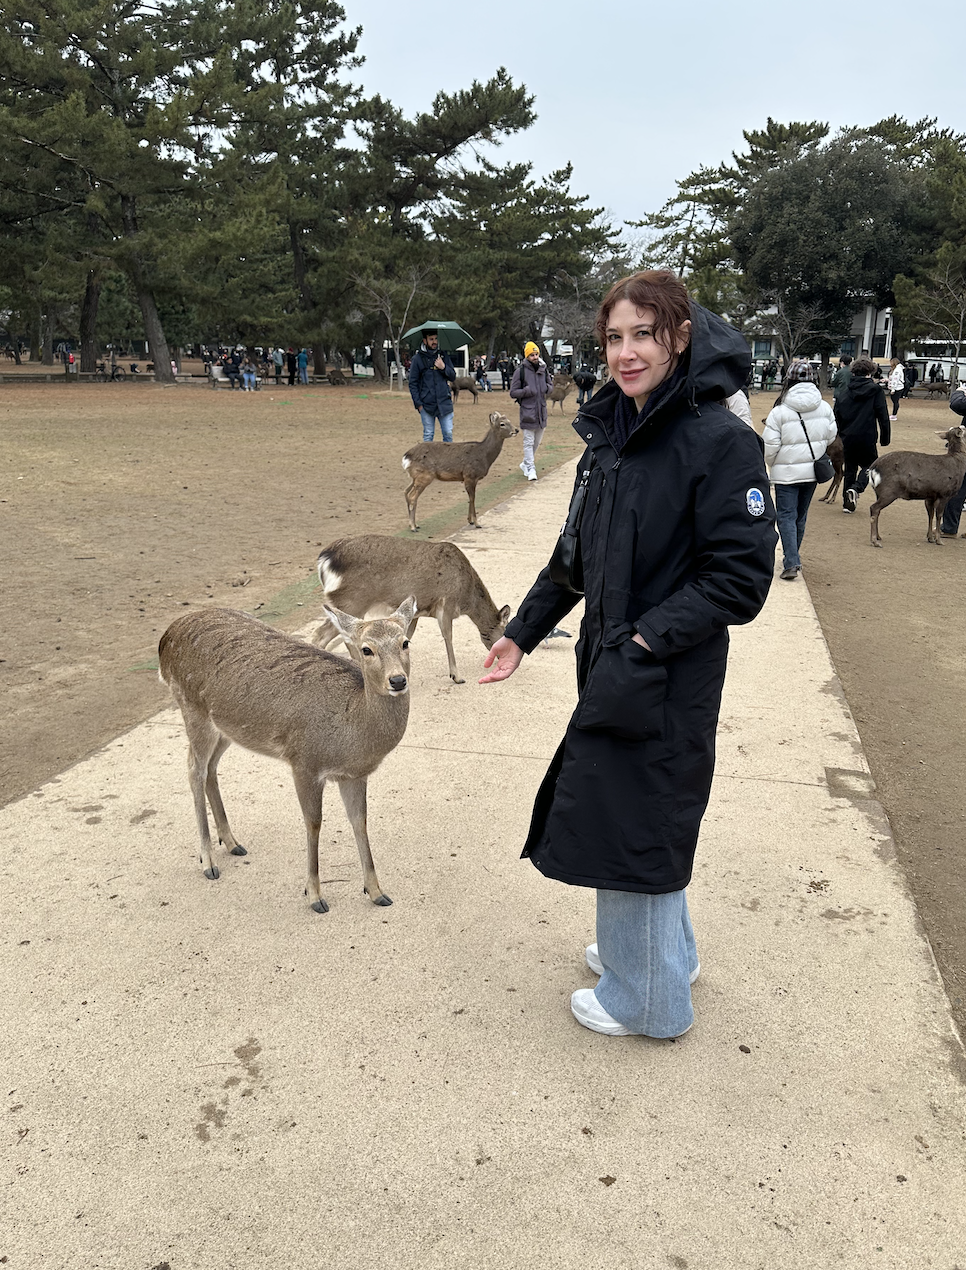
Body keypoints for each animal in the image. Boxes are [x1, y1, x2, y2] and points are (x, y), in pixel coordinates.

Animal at [158, 598, 416, 913]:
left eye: (405, 642)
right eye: (367, 649)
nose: (398, 680)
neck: (351, 733)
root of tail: (166, 638)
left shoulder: (353, 775)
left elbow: (359, 820)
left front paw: (376, 891)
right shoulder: (304, 762)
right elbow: (313, 823)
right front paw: (314, 895)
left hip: (226, 727)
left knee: (210, 769)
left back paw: (232, 842)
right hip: (192, 708)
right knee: (194, 769)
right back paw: (207, 861)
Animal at [313, 534, 510, 684]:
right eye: (505, 632)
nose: (500, 657)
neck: (466, 597)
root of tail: (324, 560)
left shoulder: (416, 613)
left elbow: (407, 635)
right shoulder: (445, 603)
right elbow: (448, 637)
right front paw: (456, 676)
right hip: (352, 601)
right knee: (326, 634)